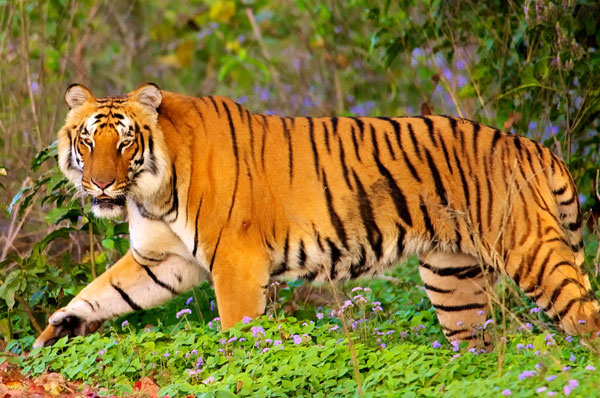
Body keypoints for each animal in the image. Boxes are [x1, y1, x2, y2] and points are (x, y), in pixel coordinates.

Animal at [34, 83, 600, 348]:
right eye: (88, 141)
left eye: (125, 142)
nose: (100, 184)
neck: (154, 192)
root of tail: (534, 146)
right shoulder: (164, 260)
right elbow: (104, 291)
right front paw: (56, 330)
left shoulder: (235, 263)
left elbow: (238, 331)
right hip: (453, 280)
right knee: (476, 341)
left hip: (531, 251)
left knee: (584, 316)